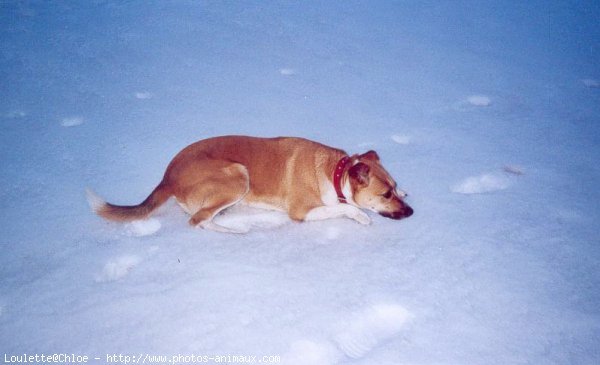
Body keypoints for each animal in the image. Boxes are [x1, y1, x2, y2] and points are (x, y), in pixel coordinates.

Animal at [88, 135, 412, 232]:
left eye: (394, 187)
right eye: (384, 194)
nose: (410, 213)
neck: (335, 172)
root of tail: (167, 177)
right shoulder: (302, 211)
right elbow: (345, 209)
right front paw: (361, 216)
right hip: (237, 175)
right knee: (198, 220)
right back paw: (234, 230)